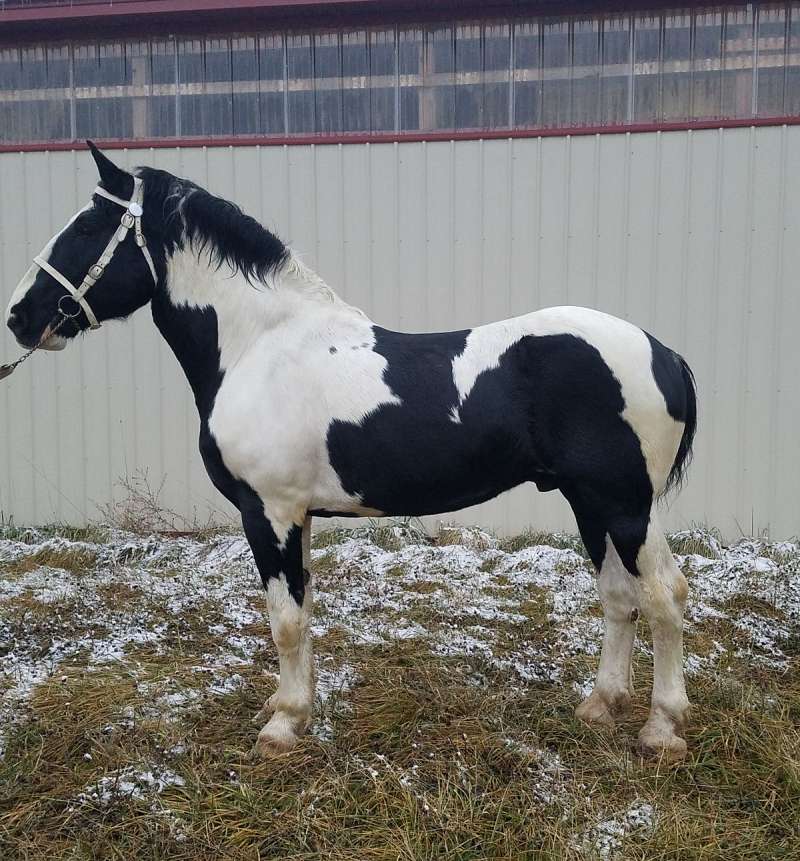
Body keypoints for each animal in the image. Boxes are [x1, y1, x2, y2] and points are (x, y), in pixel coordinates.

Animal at [5, 142, 697, 760]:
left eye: (87, 225)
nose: (19, 316)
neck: (260, 347)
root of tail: (664, 352)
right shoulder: (297, 515)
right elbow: (301, 609)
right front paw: (294, 706)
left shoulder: (270, 512)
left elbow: (284, 619)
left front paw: (282, 726)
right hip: (590, 503)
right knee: (620, 597)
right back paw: (600, 706)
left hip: (625, 506)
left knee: (665, 595)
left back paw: (662, 728)